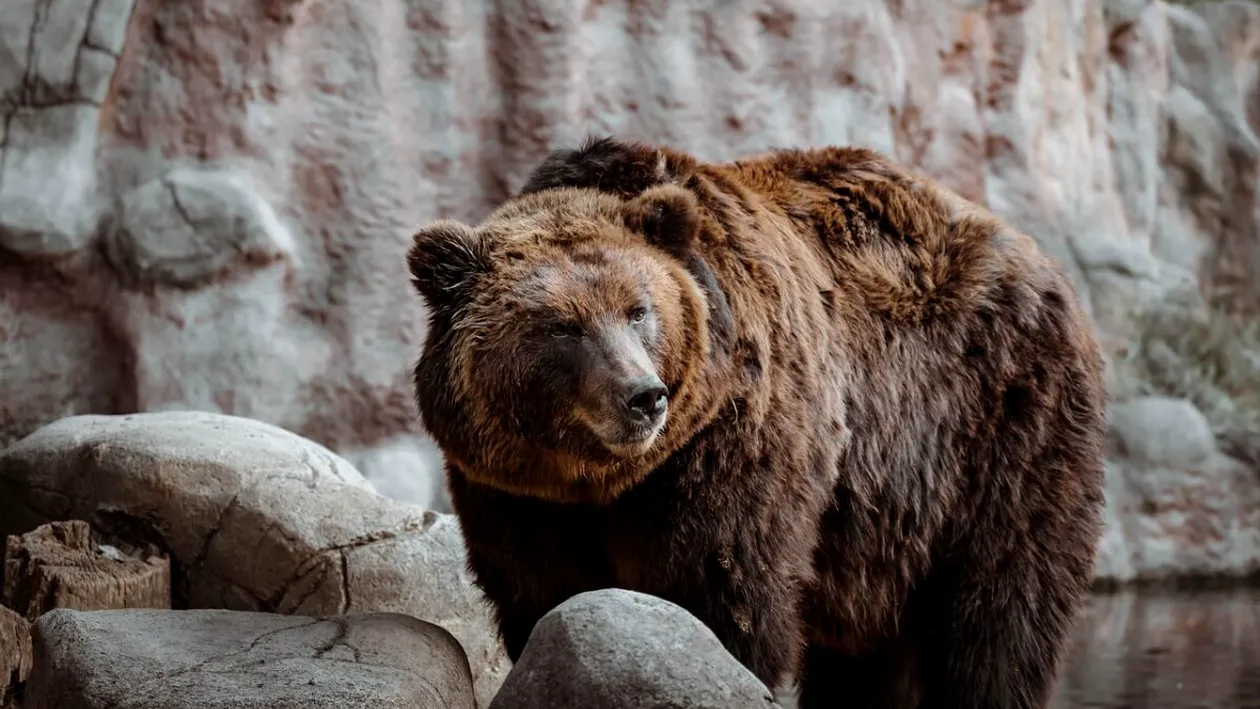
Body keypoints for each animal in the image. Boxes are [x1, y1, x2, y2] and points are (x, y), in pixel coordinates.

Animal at [408, 136, 1108, 705]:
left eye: (639, 310)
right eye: (561, 326)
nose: (643, 396)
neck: (599, 478)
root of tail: (1043, 262)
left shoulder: (732, 442)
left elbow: (722, 588)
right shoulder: (514, 492)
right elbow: (541, 593)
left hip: (998, 431)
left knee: (998, 612)